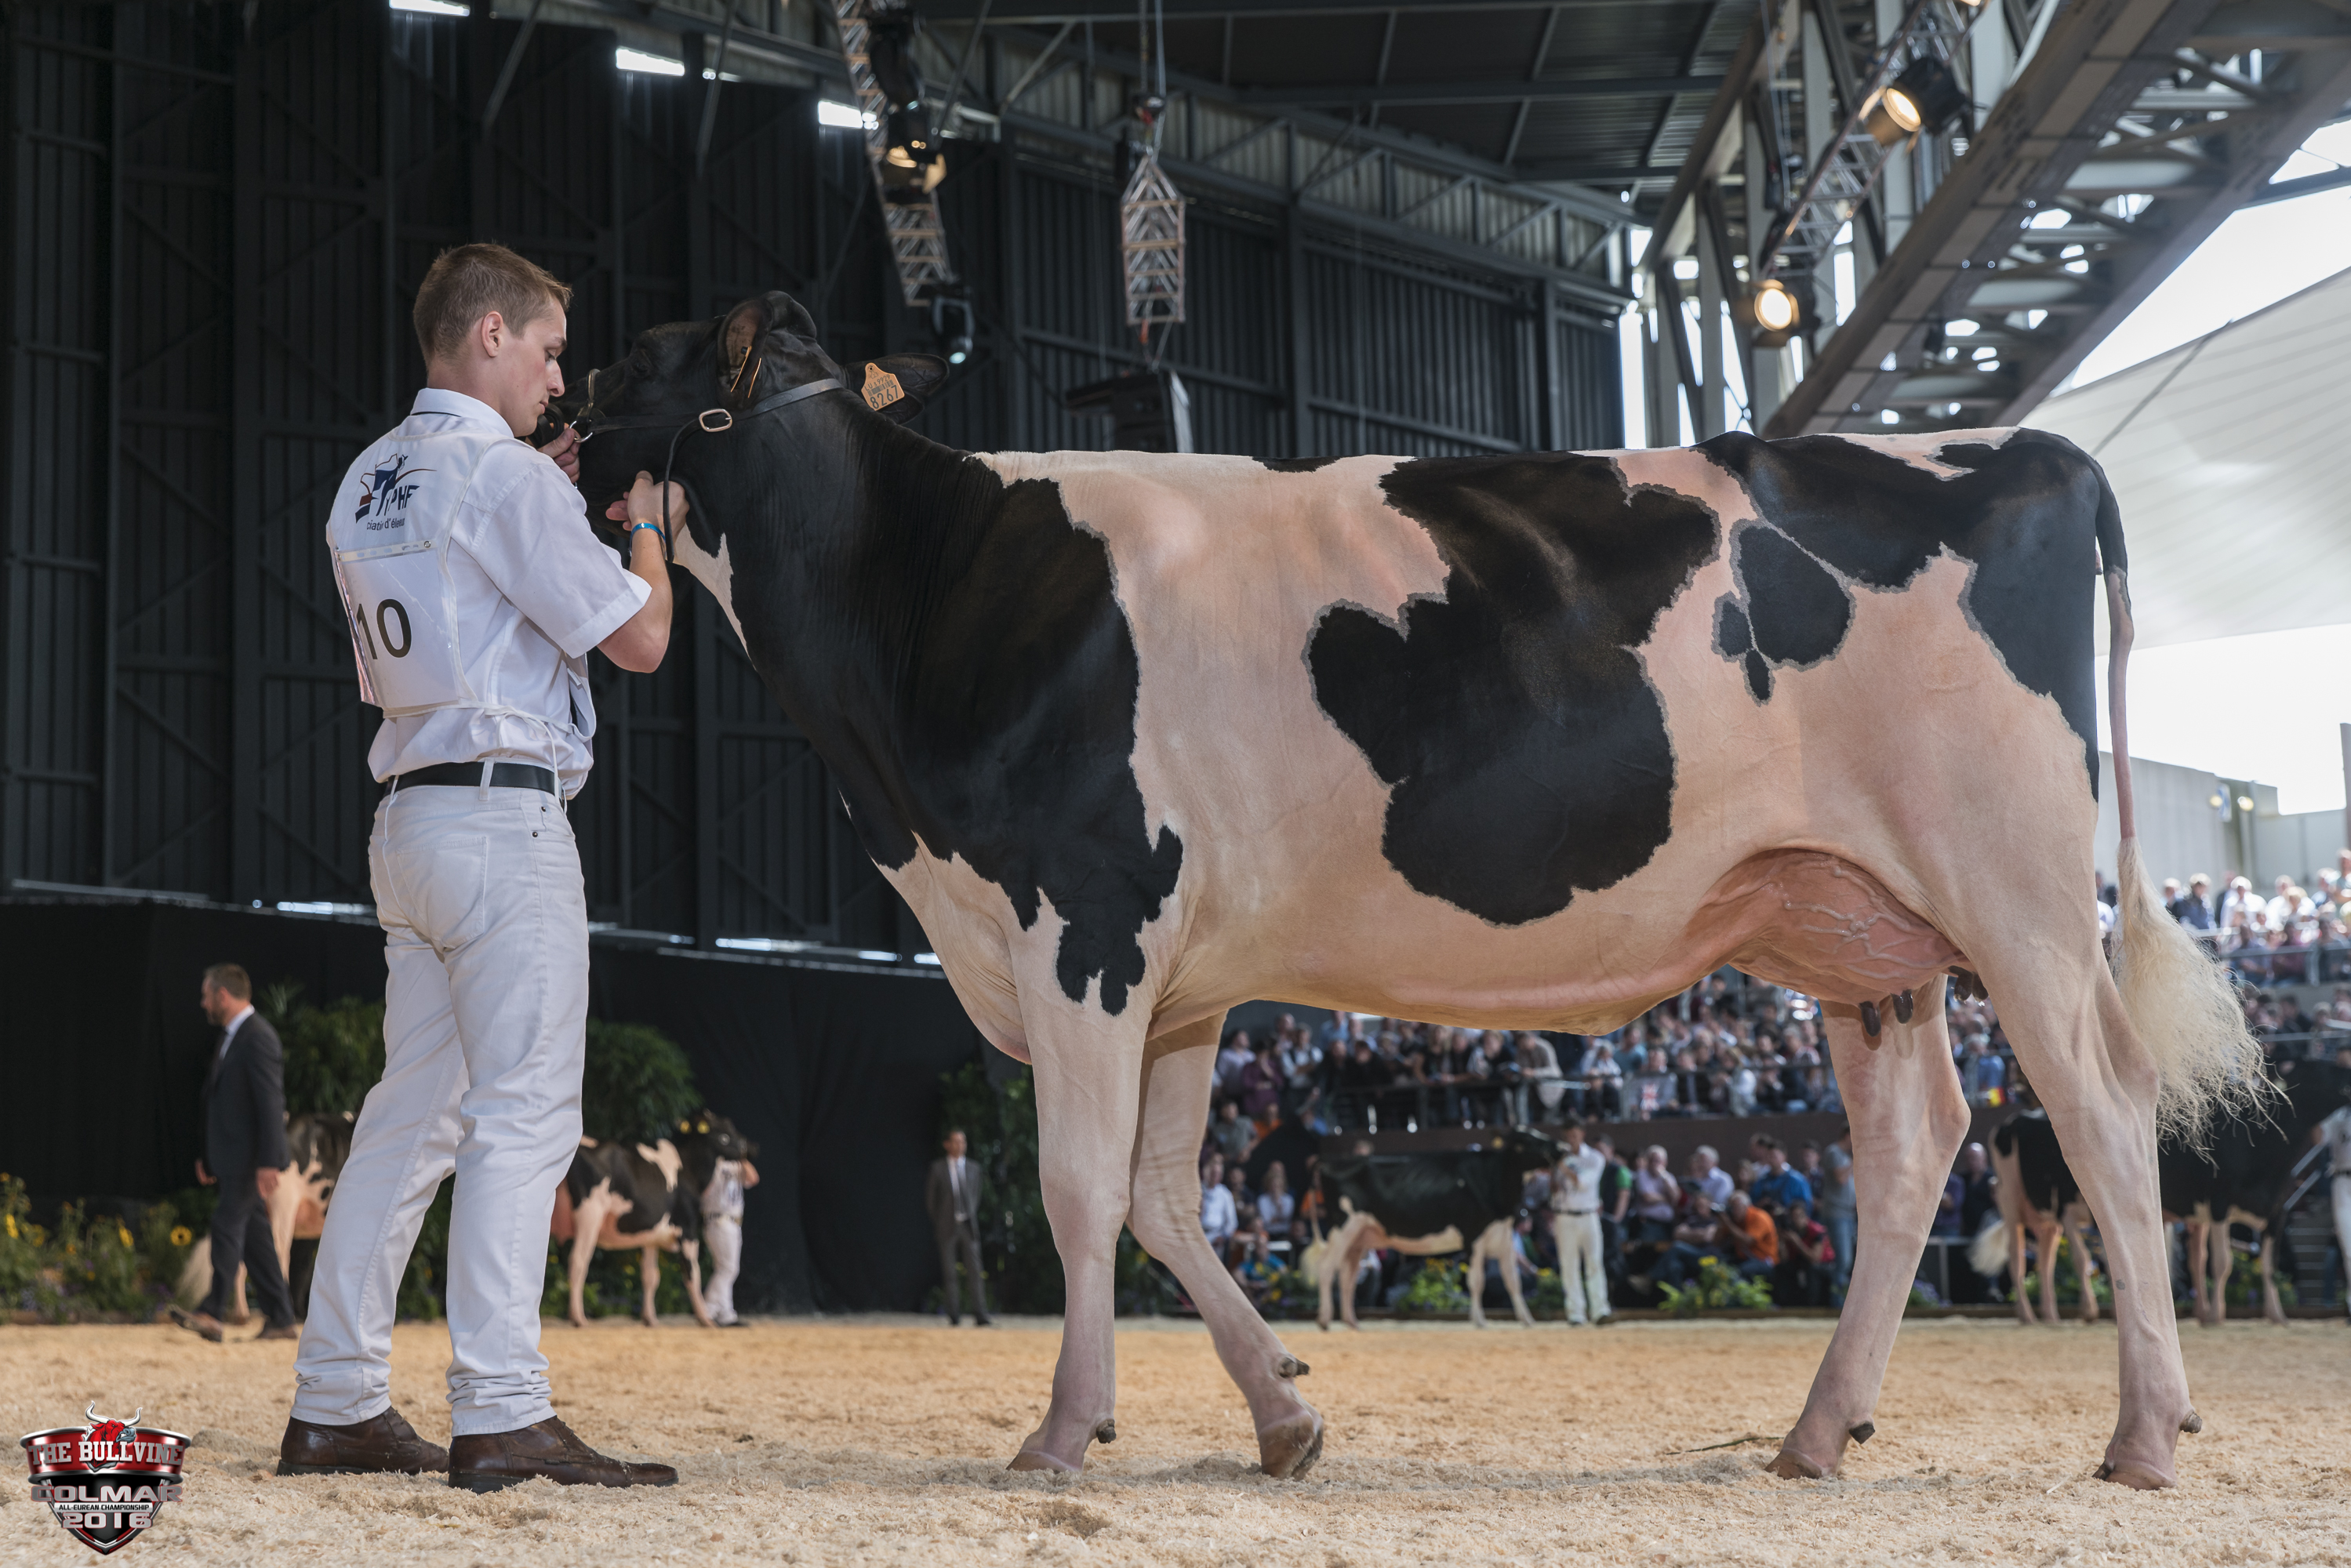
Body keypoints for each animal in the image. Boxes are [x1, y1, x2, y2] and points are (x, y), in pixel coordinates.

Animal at [1313, 1130, 1561, 1330]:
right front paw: (1480, 1321)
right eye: (1524, 1142)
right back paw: (1324, 1320)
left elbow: (1513, 1280)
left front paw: (1527, 1320)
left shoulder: (1503, 1237)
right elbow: (1477, 1281)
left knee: (1348, 1275)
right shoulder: (1472, 1236)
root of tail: (1327, 1162)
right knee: (1326, 1267)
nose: (1561, 1148)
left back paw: (1352, 1322)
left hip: (1359, 1237)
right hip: (1344, 1227)